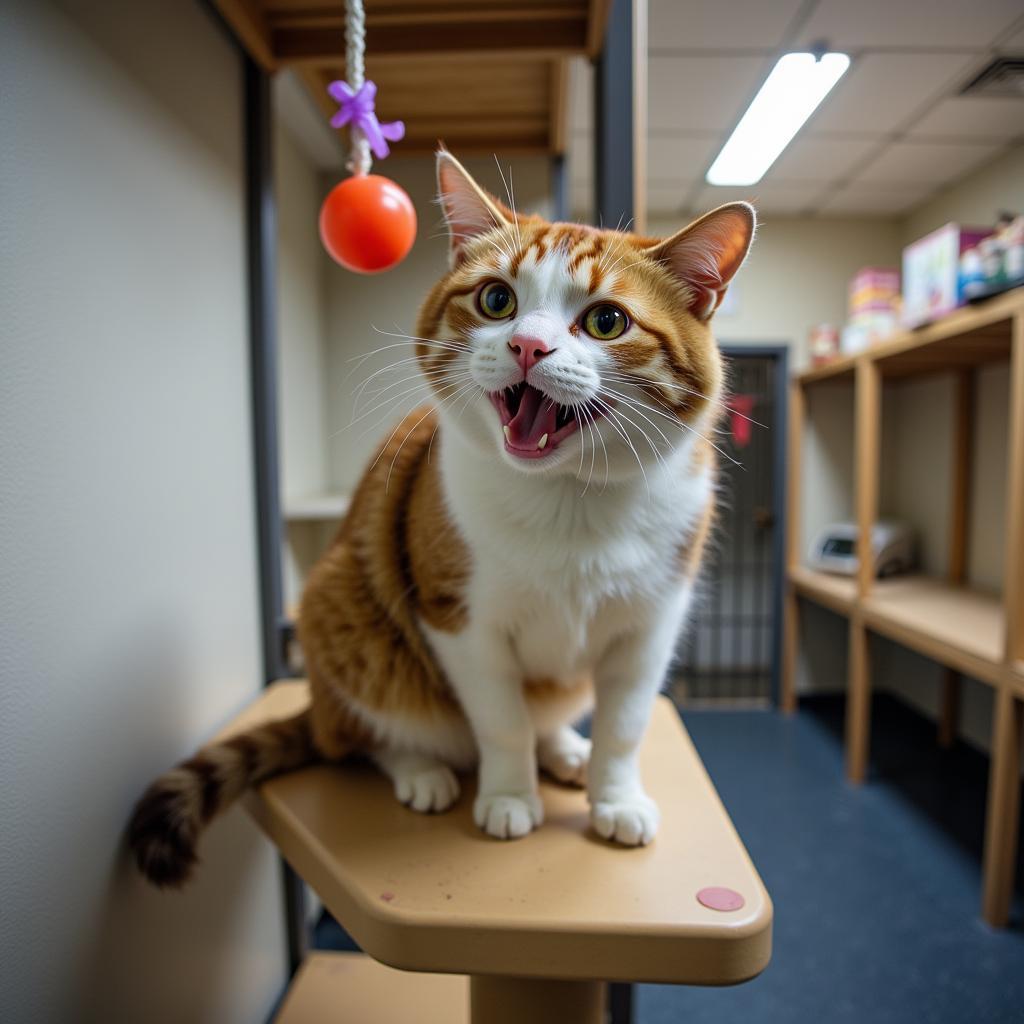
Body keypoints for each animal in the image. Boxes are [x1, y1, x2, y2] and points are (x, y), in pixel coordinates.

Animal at [128, 148, 753, 884]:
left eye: (606, 321)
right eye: (497, 300)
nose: (528, 347)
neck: (569, 499)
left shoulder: (651, 624)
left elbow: (625, 727)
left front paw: (615, 798)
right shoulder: (458, 619)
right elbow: (502, 720)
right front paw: (509, 796)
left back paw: (564, 749)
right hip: (341, 611)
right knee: (361, 733)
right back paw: (421, 769)